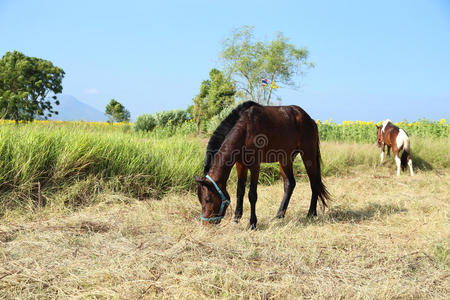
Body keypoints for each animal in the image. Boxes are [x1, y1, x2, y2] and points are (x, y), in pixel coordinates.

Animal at [194, 99, 330, 229]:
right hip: (285, 159)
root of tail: (310, 120)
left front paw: (252, 223)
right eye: (200, 199)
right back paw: (279, 214)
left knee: (314, 183)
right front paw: (236, 218)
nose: (205, 224)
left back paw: (311, 213)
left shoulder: (255, 166)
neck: (245, 129)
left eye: (208, 199)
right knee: (290, 184)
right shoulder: (240, 165)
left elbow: (252, 194)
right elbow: (240, 191)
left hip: (308, 155)